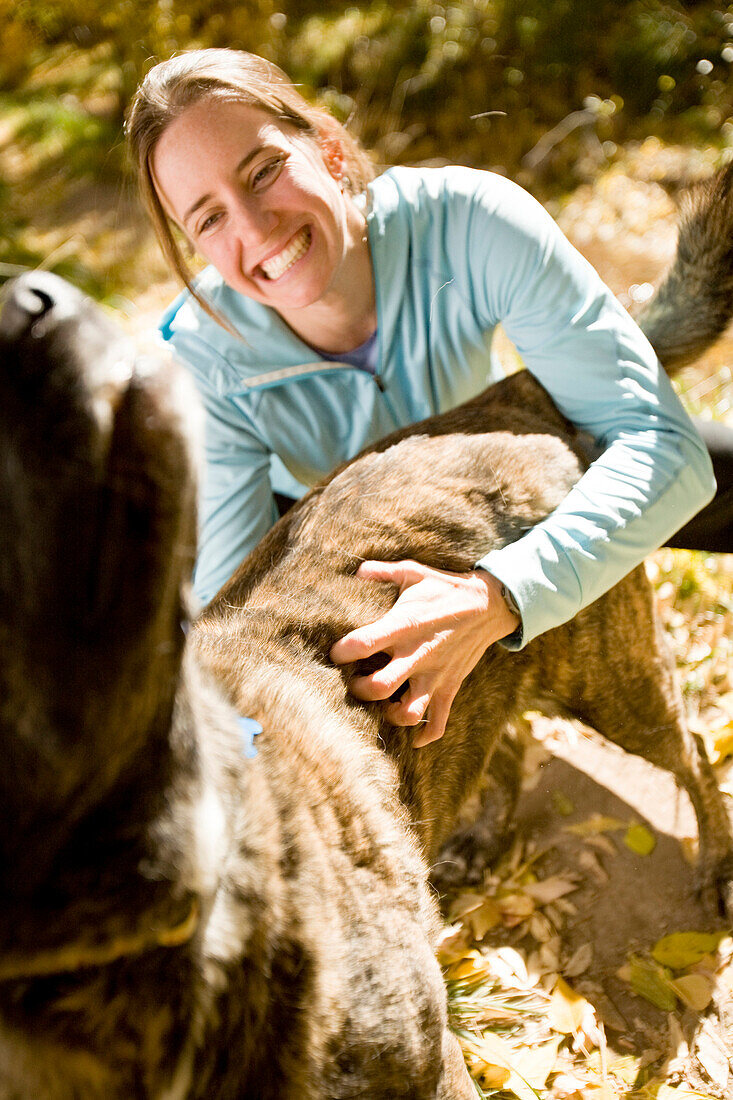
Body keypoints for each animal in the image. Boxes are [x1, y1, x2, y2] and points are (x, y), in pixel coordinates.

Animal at [0, 165, 726, 1100]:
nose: (29, 302)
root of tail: (513, 392)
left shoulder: (431, 1067)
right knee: (503, 738)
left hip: (610, 682)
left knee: (693, 751)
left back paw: (714, 866)